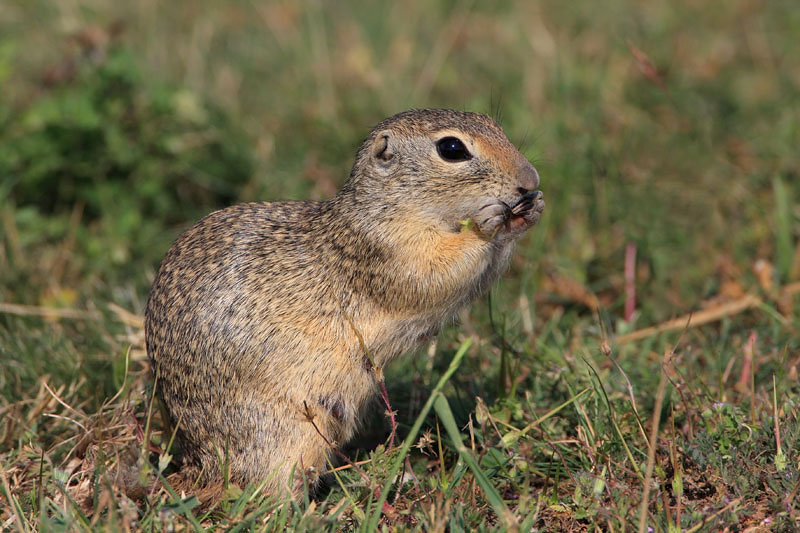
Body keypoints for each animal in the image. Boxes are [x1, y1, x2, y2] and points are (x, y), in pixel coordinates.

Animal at [144, 108, 544, 495]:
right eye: (451, 149)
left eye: (493, 124)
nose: (531, 180)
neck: (389, 207)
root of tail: (199, 465)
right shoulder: (387, 253)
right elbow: (436, 273)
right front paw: (489, 222)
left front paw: (529, 213)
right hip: (286, 436)